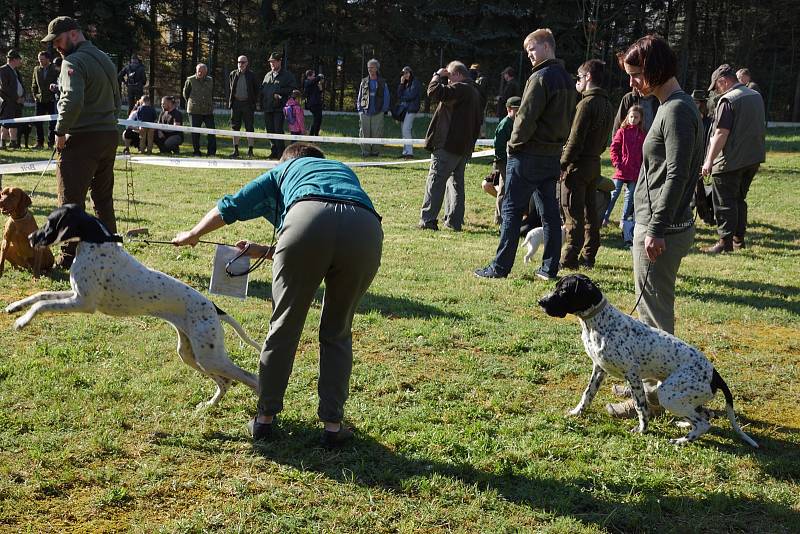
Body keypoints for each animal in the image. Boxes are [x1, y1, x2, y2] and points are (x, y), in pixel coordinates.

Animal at [7, 205, 262, 410]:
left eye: (51, 222)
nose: (30, 237)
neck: (97, 243)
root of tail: (213, 307)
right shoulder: (75, 295)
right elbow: (40, 295)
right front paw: (15, 307)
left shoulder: (83, 303)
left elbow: (42, 305)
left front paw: (23, 321)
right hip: (192, 354)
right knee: (225, 382)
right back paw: (208, 406)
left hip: (210, 356)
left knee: (250, 377)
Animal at [536, 276, 756, 448]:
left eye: (563, 290)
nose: (541, 301)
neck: (597, 323)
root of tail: (714, 374)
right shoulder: (599, 369)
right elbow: (587, 395)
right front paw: (576, 412)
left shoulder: (632, 375)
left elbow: (641, 406)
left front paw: (642, 430)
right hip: (683, 396)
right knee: (706, 414)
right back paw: (685, 425)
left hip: (667, 393)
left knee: (704, 423)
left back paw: (680, 440)